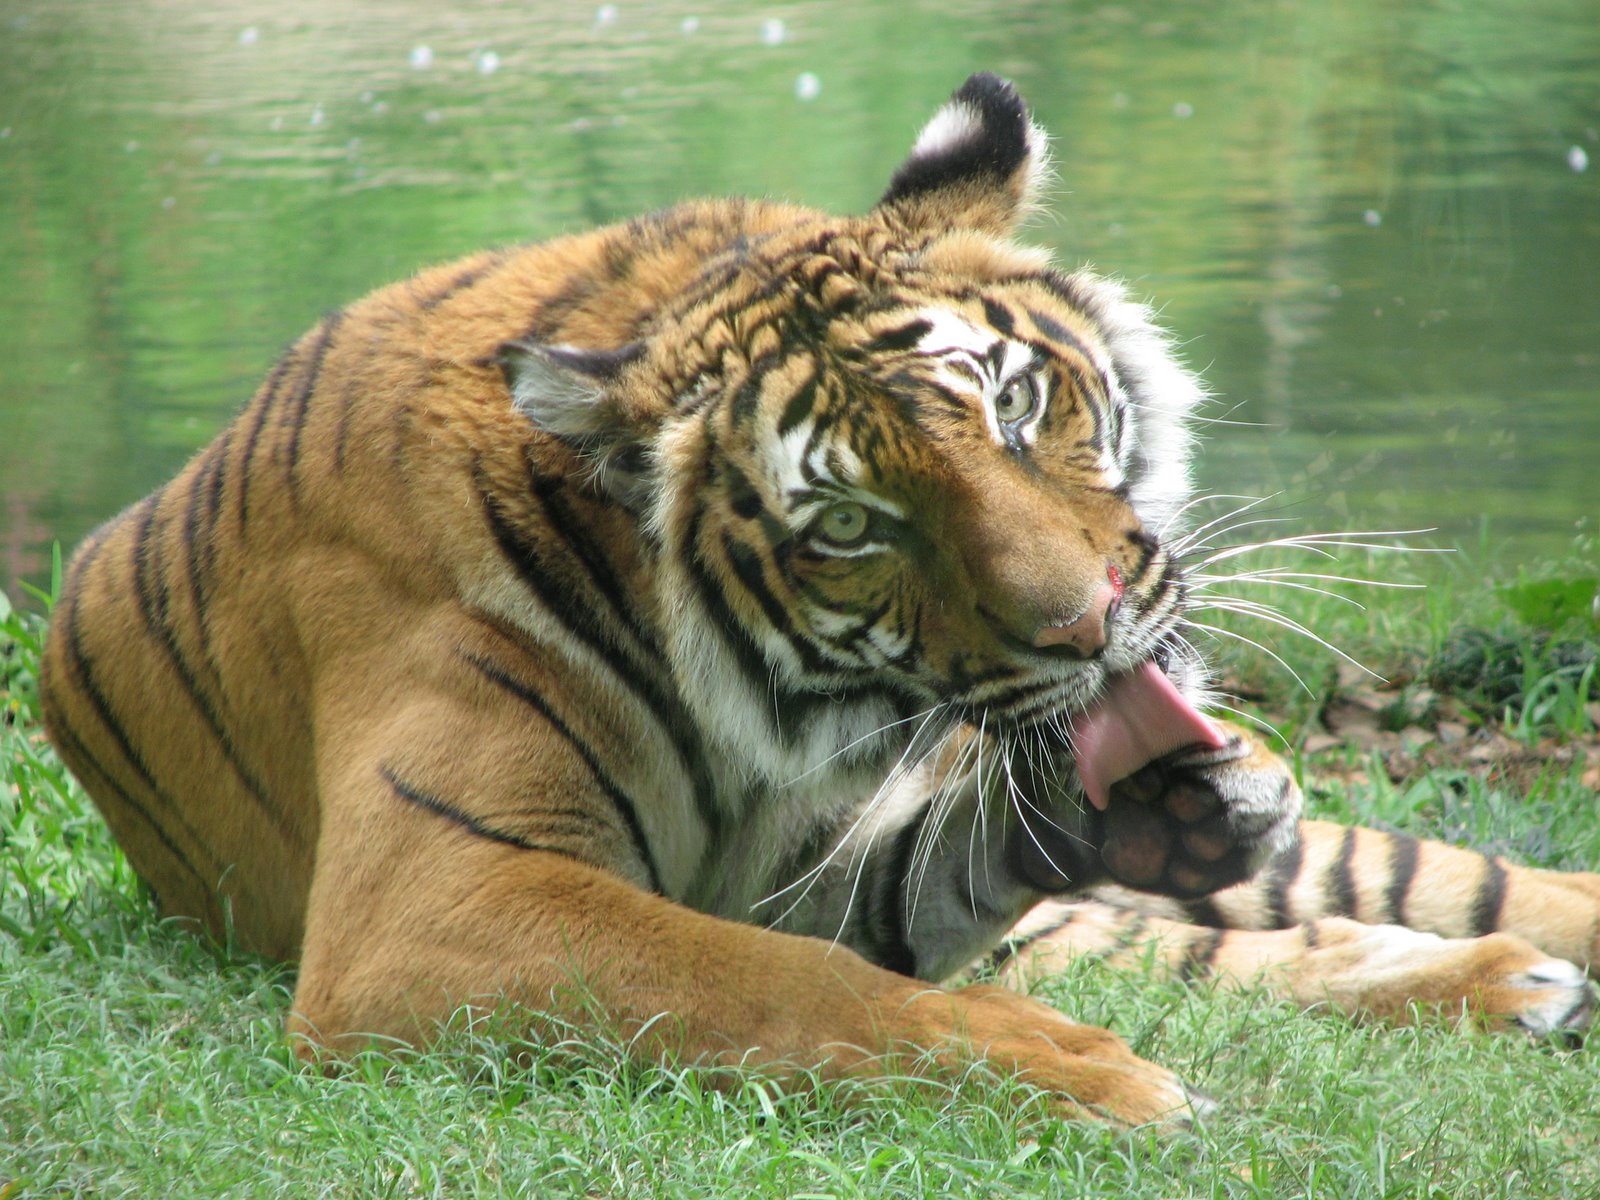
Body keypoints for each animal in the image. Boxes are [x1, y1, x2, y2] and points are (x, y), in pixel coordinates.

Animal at [38, 73, 1599, 1127]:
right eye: (852, 525)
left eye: (1016, 407)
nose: (1086, 629)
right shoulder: (426, 903)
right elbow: (783, 983)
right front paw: (1083, 1071)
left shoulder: (808, 858)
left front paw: (1165, 812)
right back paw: (1503, 985)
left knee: (1402, 892)